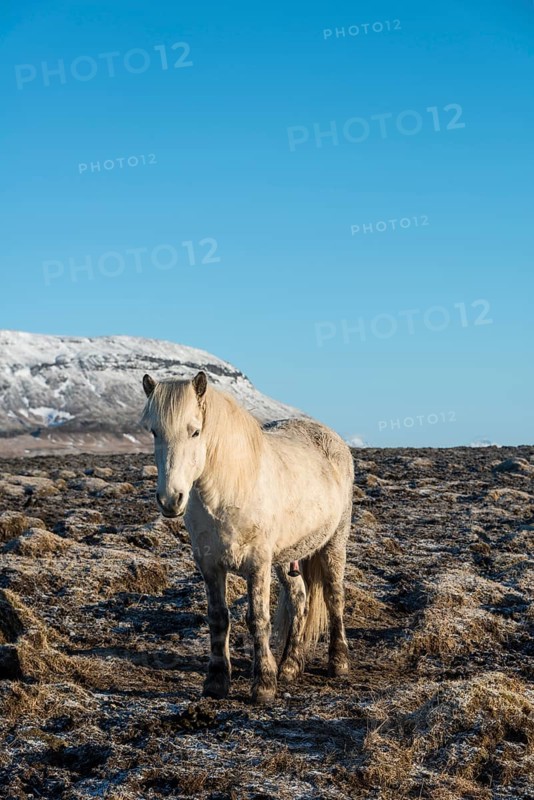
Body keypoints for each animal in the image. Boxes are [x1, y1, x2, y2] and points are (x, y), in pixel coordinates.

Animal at [141, 371, 354, 703]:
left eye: (195, 431)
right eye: (154, 432)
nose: (170, 499)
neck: (227, 492)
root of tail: (331, 437)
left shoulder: (258, 563)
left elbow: (258, 619)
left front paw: (264, 685)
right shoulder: (209, 564)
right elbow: (218, 617)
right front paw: (216, 682)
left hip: (334, 543)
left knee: (334, 597)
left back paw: (338, 662)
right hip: (287, 557)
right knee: (300, 599)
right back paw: (290, 666)